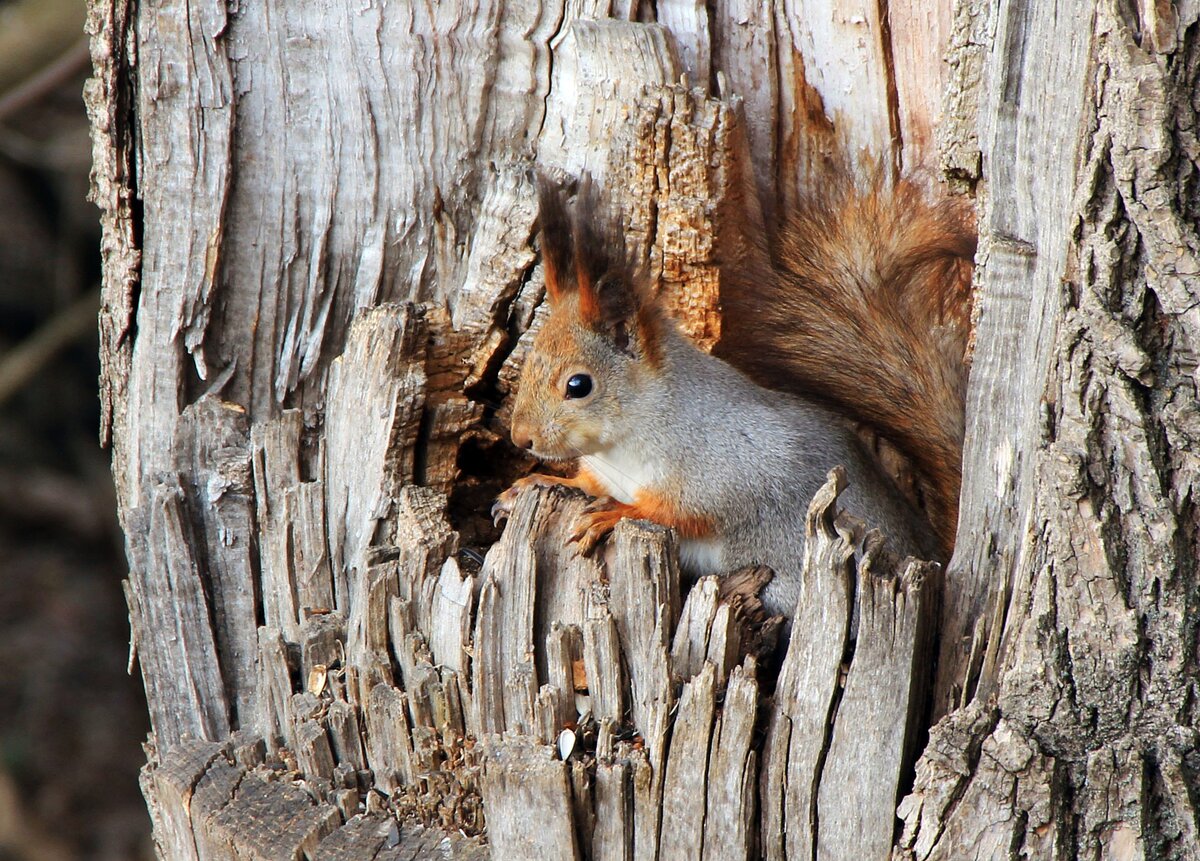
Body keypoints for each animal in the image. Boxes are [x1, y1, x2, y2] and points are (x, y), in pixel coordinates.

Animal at [492, 172, 974, 619]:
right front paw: (541, 482)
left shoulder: (730, 468)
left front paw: (613, 513)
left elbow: (679, 511)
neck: (626, 442)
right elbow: (586, 483)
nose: (521, 439)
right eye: (530, 361)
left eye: (578, 385)